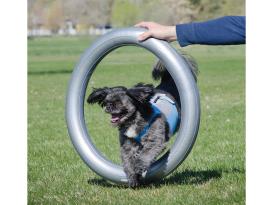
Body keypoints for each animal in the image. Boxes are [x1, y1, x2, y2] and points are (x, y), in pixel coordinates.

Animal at [86, 54, 197, 187]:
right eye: (106, 102)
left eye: (118, 102)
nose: (108, 107)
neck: (133, 120)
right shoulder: (128, 145)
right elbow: (128, 161)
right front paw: (132, 177)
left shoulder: (154, 141)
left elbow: (145, 154)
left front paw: (138, 166)